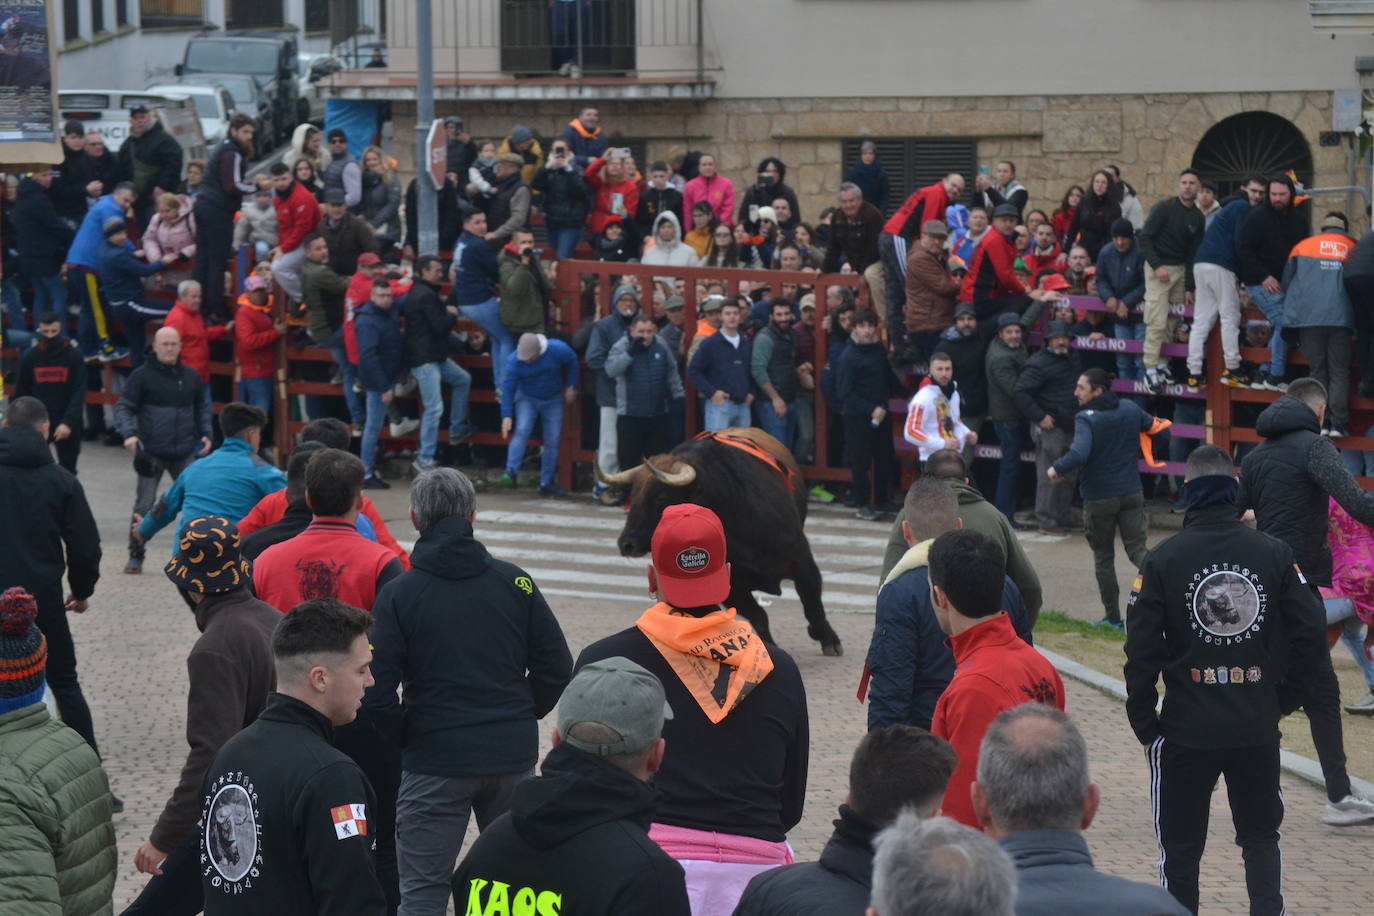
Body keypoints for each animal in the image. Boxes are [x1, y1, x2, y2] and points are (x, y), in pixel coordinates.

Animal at [596, 425, 840, 656]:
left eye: (661, 498)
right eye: (633, 496)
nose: (626, 544)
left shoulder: (802, 560)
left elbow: (813, 604)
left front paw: (828, 639)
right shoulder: (733, 588)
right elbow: (759, 616)